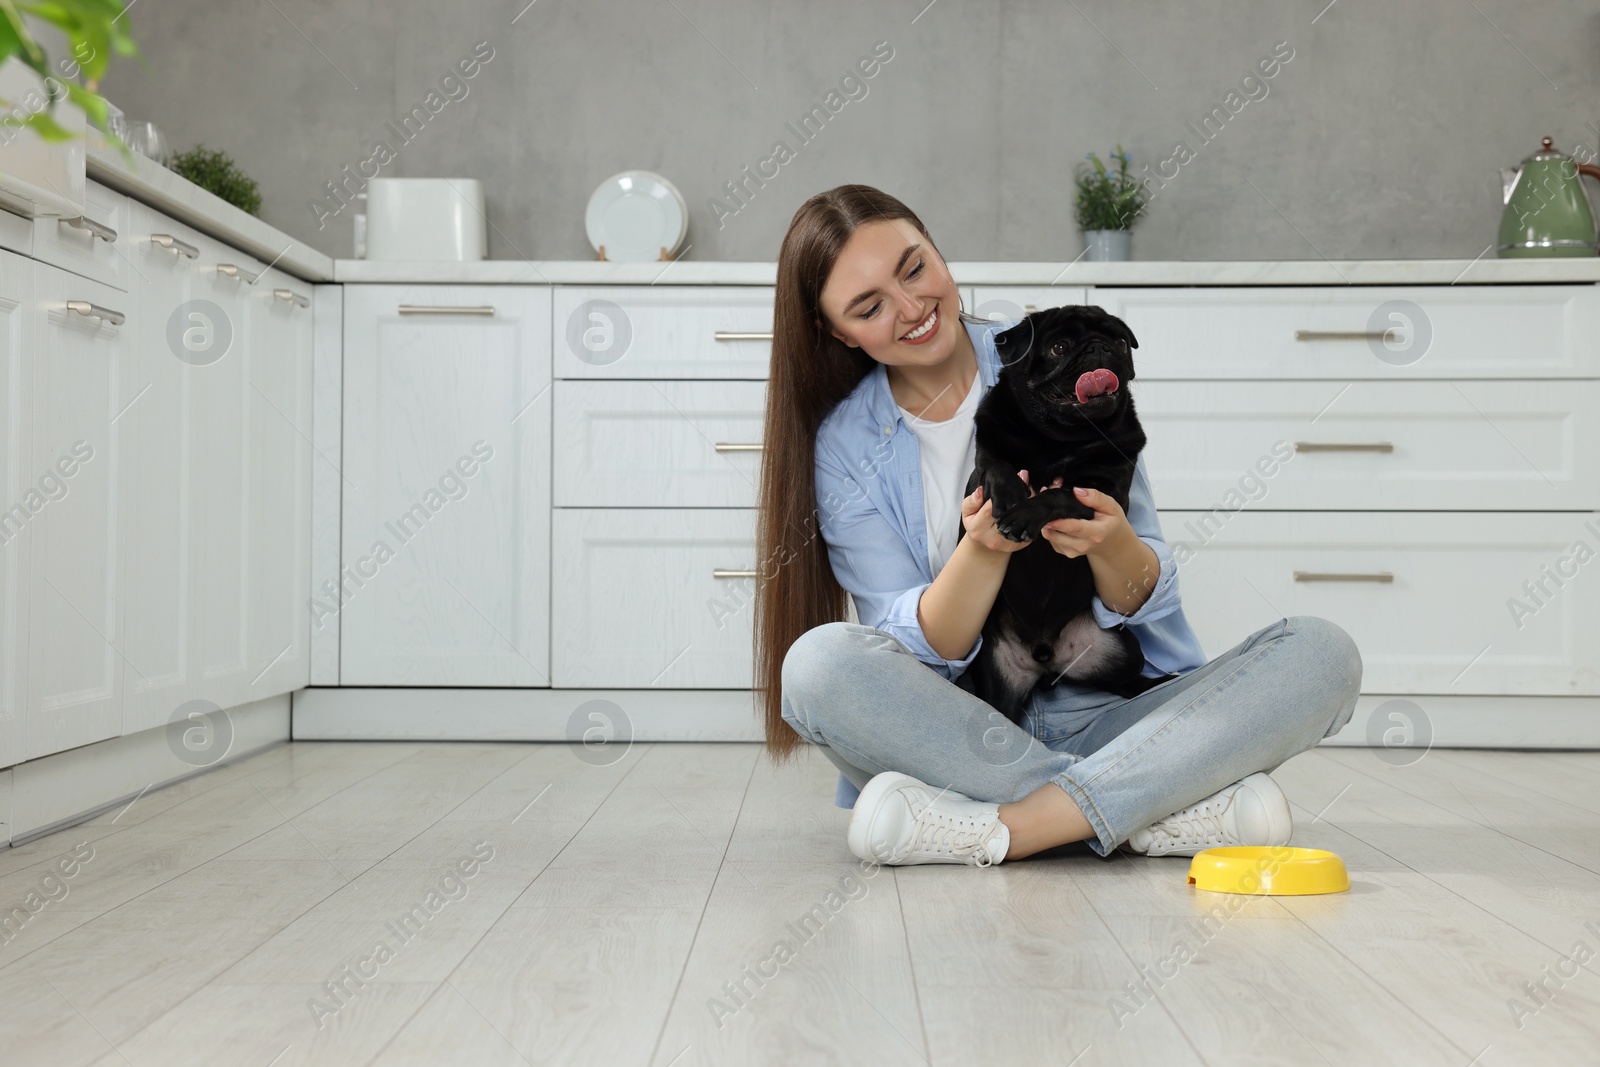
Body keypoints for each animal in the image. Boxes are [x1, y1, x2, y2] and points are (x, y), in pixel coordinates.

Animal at [953, 303, 1171, 729]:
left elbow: (1056, 494)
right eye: (1059, 347)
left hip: (1123, 651)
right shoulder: (984, 463)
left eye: (1121, 341)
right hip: (997, 677)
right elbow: (996, 466)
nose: (1100, 347)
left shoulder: (1101, 493)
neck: (1056, 440)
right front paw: (1011, 497)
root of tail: (1046, 661)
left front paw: (1023, 516)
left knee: (1123, 680)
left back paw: (1157, 683)